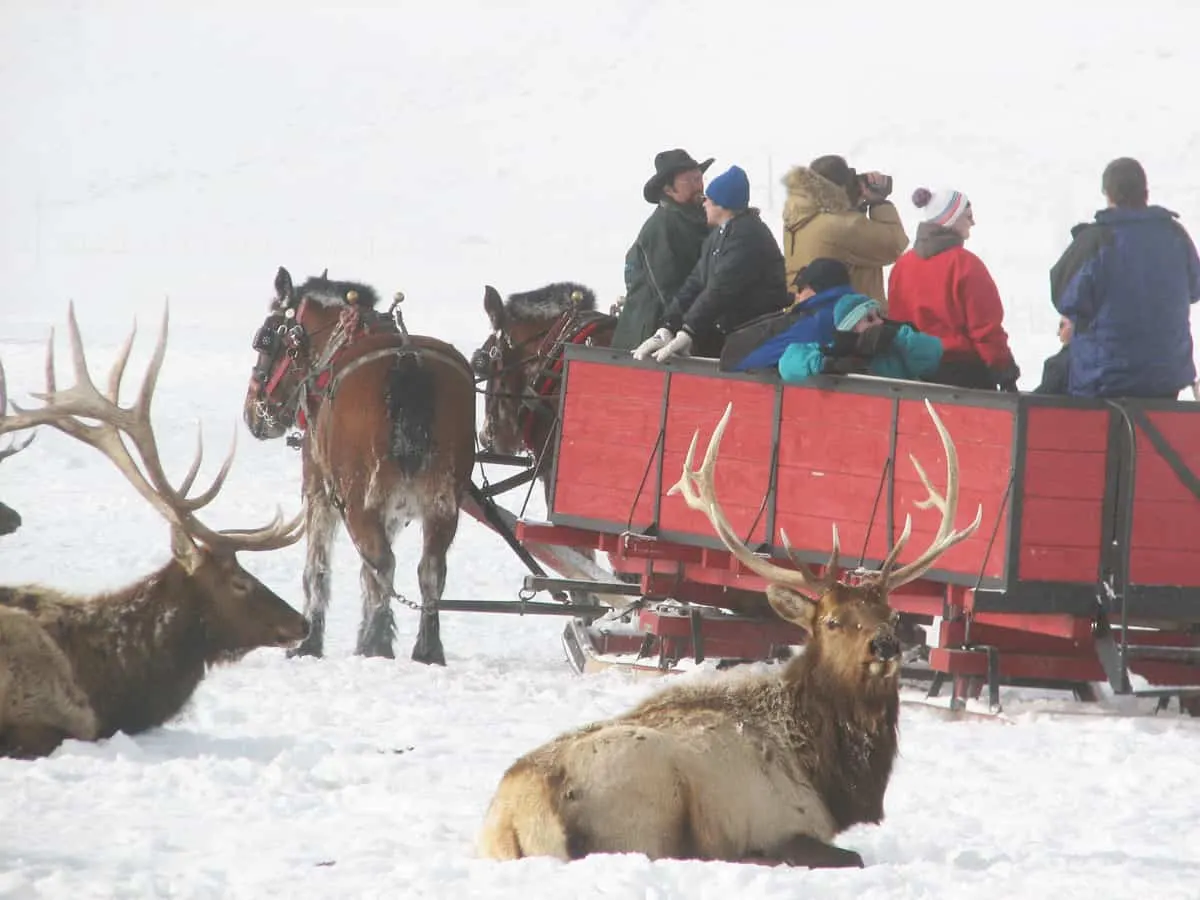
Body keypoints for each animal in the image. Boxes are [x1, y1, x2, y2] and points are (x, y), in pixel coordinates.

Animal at [241, 266, 475, 662]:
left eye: (266, 339)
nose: (252, 412)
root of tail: (407, 360)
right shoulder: (391, 508)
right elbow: (370, 578)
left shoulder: (319, 489)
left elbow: (318, 571)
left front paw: (309, 642)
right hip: (441, 504)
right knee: (429, 571)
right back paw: (425, 649)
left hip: (357, 500)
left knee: (384, 563)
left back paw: (377, 645)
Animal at [480, 400, 984, 868]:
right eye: (832, 620)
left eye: (892, 614)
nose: (885, 645)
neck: (829, 774)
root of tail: (515, 816)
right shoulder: (785, 819)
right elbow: (850, 855)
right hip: (649, 802)